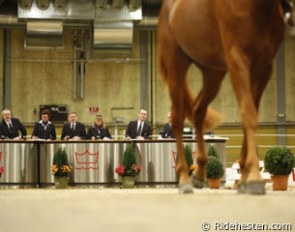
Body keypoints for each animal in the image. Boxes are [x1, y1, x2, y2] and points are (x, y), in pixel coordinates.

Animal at [158, 0, 288, 194]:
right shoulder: (237, 60)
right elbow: (248, 115)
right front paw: (253, 178)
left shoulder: (264, 67)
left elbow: (251, 114)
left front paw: (244, 179)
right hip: (176, 69)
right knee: (178, 120)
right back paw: (184, 180)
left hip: (213, 74)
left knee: (198, 112)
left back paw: (199, 175)